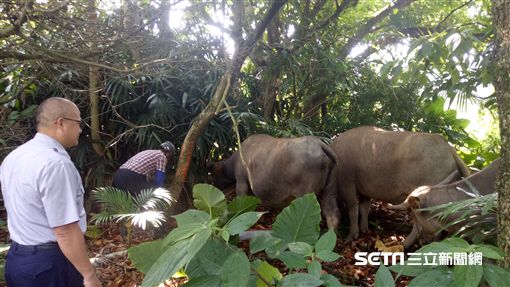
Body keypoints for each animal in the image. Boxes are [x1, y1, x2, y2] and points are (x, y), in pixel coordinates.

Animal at [330, 127, 470, 242]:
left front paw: (351, 235)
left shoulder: (347, 183)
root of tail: (448, 147)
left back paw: (406, 244)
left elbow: (353, 209)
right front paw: (364, 229)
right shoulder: (364, 190)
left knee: (422, 227)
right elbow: (364, 208)